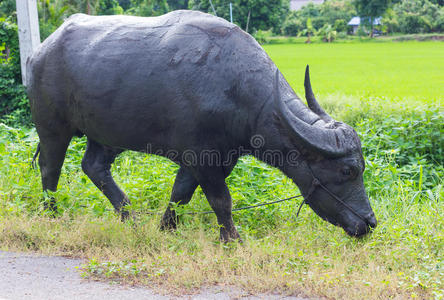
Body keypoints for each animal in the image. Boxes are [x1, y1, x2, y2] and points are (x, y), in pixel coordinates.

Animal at [27, 10, 376, 241]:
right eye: (347, 171)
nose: (369, 223)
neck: (239, 89)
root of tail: (39, 51)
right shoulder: (201, 156)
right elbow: (221, 199)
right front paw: (232, 240)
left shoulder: (212, 158)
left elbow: (180, 193)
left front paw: (166, 228)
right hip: (52, 126)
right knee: (50, 168)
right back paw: (51, 212)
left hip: (105, 134)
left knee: (94, 166)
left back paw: (129, 215)